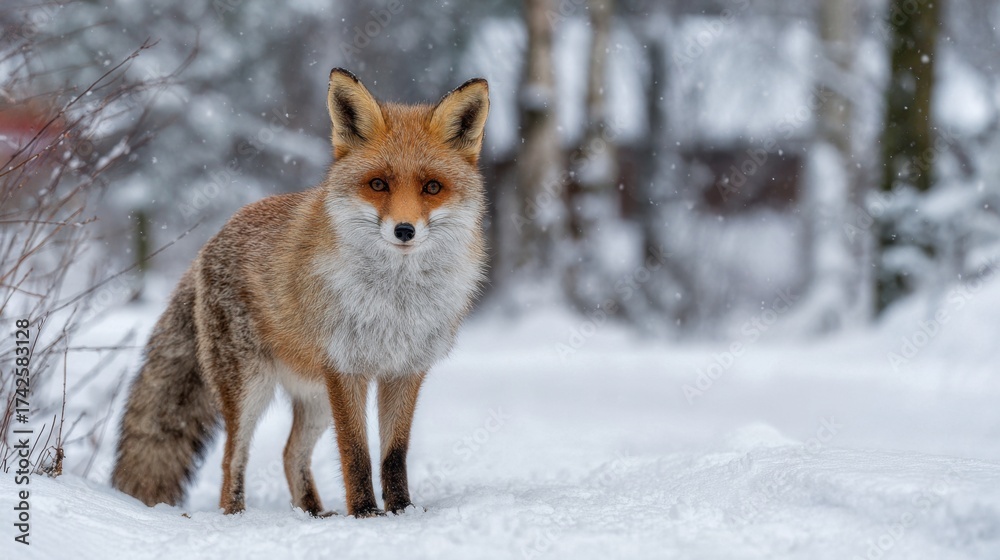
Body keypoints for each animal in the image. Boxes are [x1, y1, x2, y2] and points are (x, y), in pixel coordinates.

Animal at [111, 68, 489, 518]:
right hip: (252, 387)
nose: (404, 230)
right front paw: (365, 513)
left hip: (315, 398)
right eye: (378, 184)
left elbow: (393, 454)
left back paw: (312, 512)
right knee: (232, 459)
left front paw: (401, 510)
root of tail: (209, 243)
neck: (394, 302)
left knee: (290, 453)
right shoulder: (345, 367)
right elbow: (355, 453)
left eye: (432, 187)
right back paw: (237, 516)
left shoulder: (405, 370)